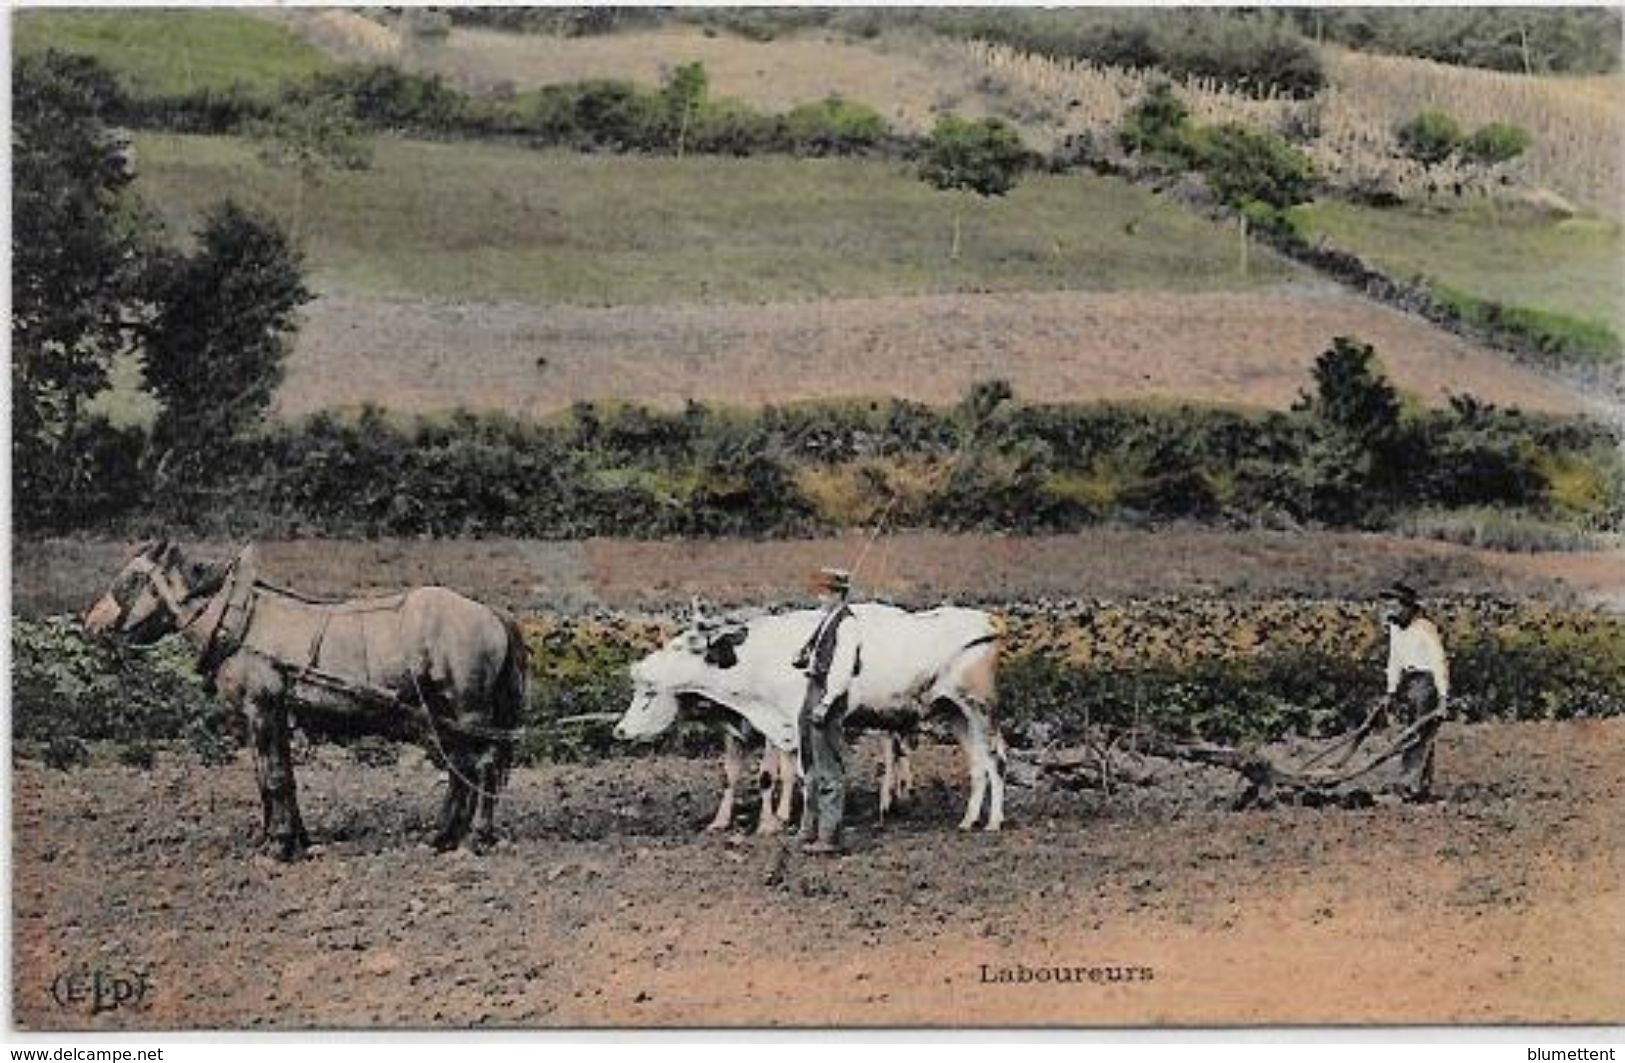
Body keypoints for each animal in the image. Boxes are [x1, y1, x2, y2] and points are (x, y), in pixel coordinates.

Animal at [85, 546, 529, 864]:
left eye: (132, 578)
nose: (90, 624)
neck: (238, 623)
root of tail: (491, 612)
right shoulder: (273, 713)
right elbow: (274, 778)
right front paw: (287, 839)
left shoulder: (261, 708)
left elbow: (275, 776)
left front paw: (279, 847)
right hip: (444, 714)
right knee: (460, 770)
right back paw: (442, 837)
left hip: (469, 710)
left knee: (483, 767)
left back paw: (475, 839)